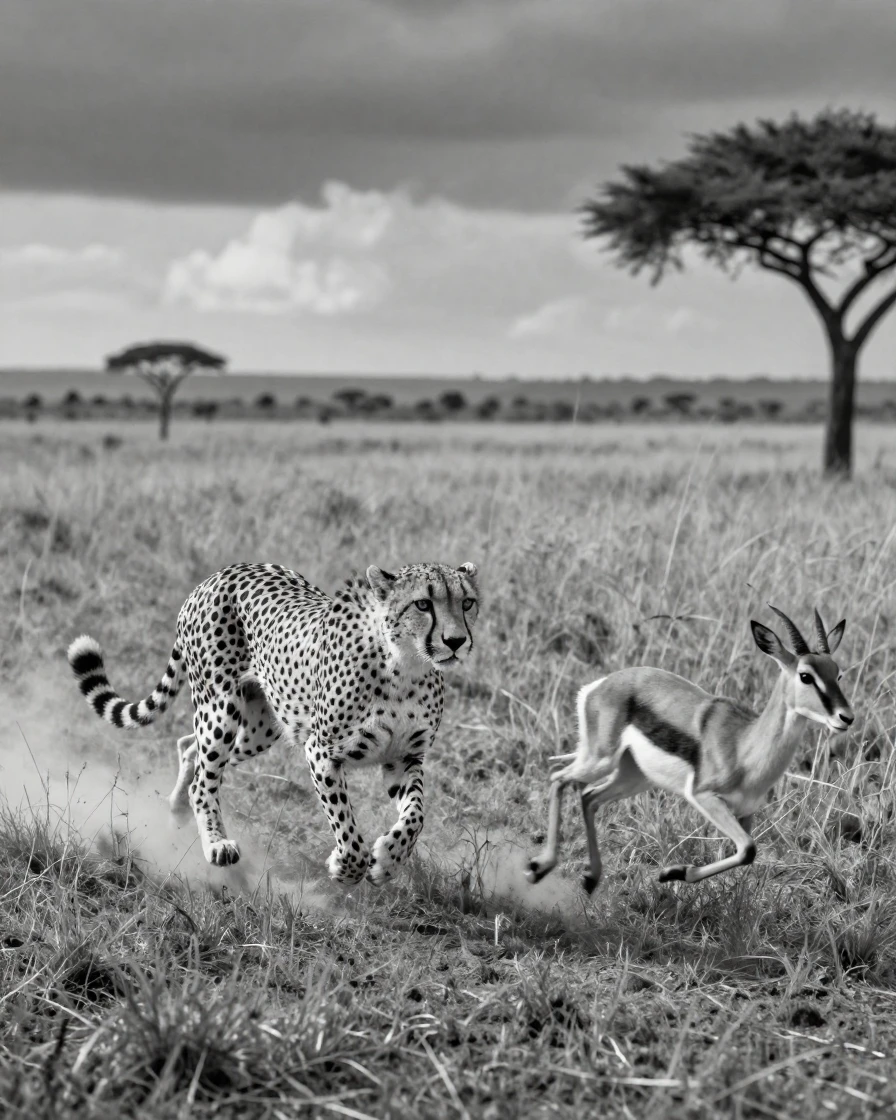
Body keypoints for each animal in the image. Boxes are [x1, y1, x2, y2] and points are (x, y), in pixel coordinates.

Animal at [67, 560, 480, 885]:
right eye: (423, 604)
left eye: (467, 602)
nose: (456, 641)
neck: (406, 667)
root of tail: (220, 573)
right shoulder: (321, 752)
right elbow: (344, 821)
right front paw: (347, 866)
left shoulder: (403, 758)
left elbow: (416, 816)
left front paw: (387, 862)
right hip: (221, 709)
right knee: (204, 778)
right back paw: (216, 843)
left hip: (261, 728)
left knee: (189, 749)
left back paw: (180, 812)